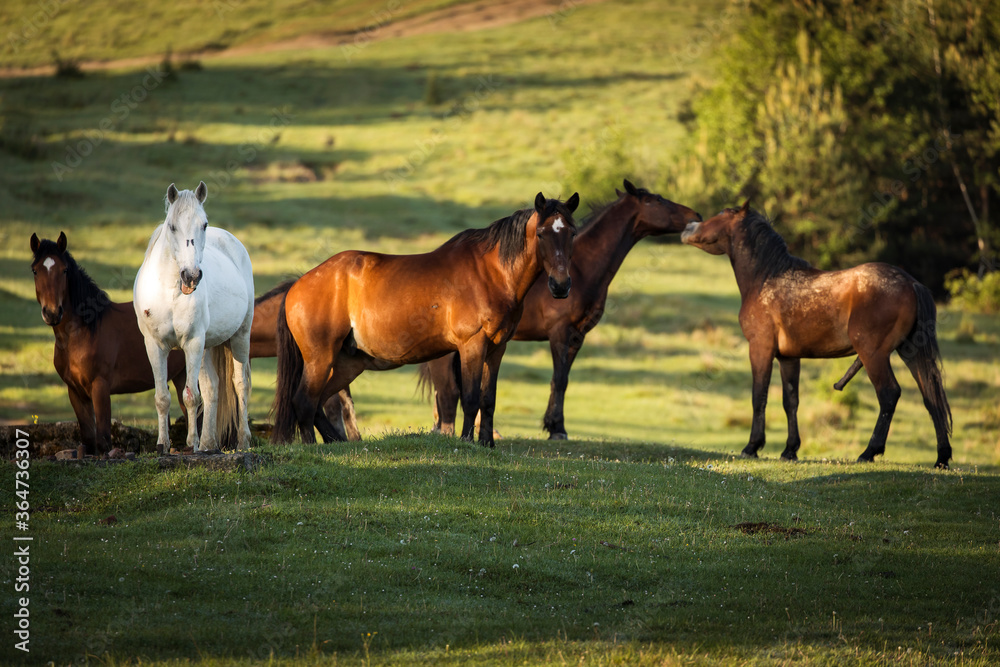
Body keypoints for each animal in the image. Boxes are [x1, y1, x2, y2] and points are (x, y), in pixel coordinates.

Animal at [29, 232, 188, 454]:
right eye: (35, 271)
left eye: (64, 270)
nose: (52, 313)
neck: (83, 332)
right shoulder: (75, 392)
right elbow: (88, 439)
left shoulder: (100, 387)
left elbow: (103, 440)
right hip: (181, 374)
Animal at [133, 182, 255, 453]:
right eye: (171, 226)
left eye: (204, 224)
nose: (191, 276)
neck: (169, 291)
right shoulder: (154, 345)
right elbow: (162, 398)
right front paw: (163, 445)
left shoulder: (192, 343)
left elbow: (191, 397)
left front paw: (192, 444)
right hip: (207, 347)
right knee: (213, 387)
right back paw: (210, 443)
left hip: (239, 337)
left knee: (240, 384)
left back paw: (242, 442)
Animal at [271, 192, 580, 448]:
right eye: (541, 233)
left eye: (571, 233)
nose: (561, 286)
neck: (490, 273)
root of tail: (298, 285)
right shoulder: (472, 345)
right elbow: (470, 399)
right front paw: (467, 443)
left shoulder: (497, 348)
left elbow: (488, 399)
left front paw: (487, 444)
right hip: (320, 359)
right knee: (305, 402)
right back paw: (313, 448)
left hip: (347, 363)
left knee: (319, 403)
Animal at [417, 179, 702, 439]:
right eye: (657, 200)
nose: (695, 216)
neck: (581, 268)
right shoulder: (559, 333)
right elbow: (558, 379)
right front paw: (556, 429)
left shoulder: (577, 336)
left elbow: (563, 380)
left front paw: (556, 426)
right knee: (447, 390)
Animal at [680, 200, 952, 468]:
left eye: (722, 214)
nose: (688, 227)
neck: (766, 280)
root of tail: (911, 283)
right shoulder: (788, 357)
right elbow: (790, 401)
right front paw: (790, 450)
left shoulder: (760, 348)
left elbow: (759, 396)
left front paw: (752, 447)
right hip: (910, 353)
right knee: (931, 396)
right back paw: (942, 457)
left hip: (873, 355)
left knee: (889, 394)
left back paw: (869, 452)